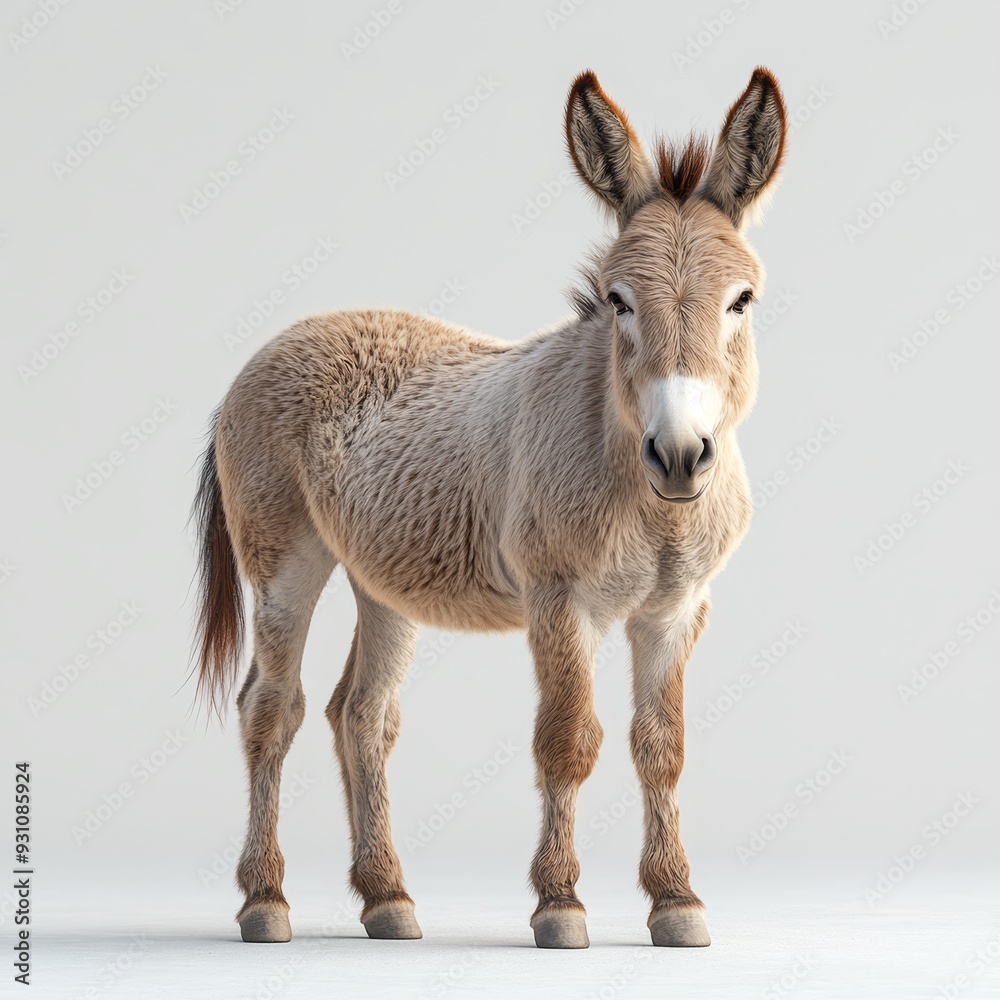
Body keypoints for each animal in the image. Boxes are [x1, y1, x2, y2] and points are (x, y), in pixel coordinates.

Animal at [193, 67, 788, 950]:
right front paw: (560, 905)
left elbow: (662, 748)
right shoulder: (561, 602)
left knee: (360, 714)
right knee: (272, 708)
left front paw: (676, 902)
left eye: (741, 300)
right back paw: (266, 901)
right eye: (618, 301)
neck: (648, 506)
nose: (680, 455)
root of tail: (277, 342)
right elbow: (568, 742)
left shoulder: (675, 611)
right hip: (284, 566)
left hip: (383, 579)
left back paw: (387, 898)